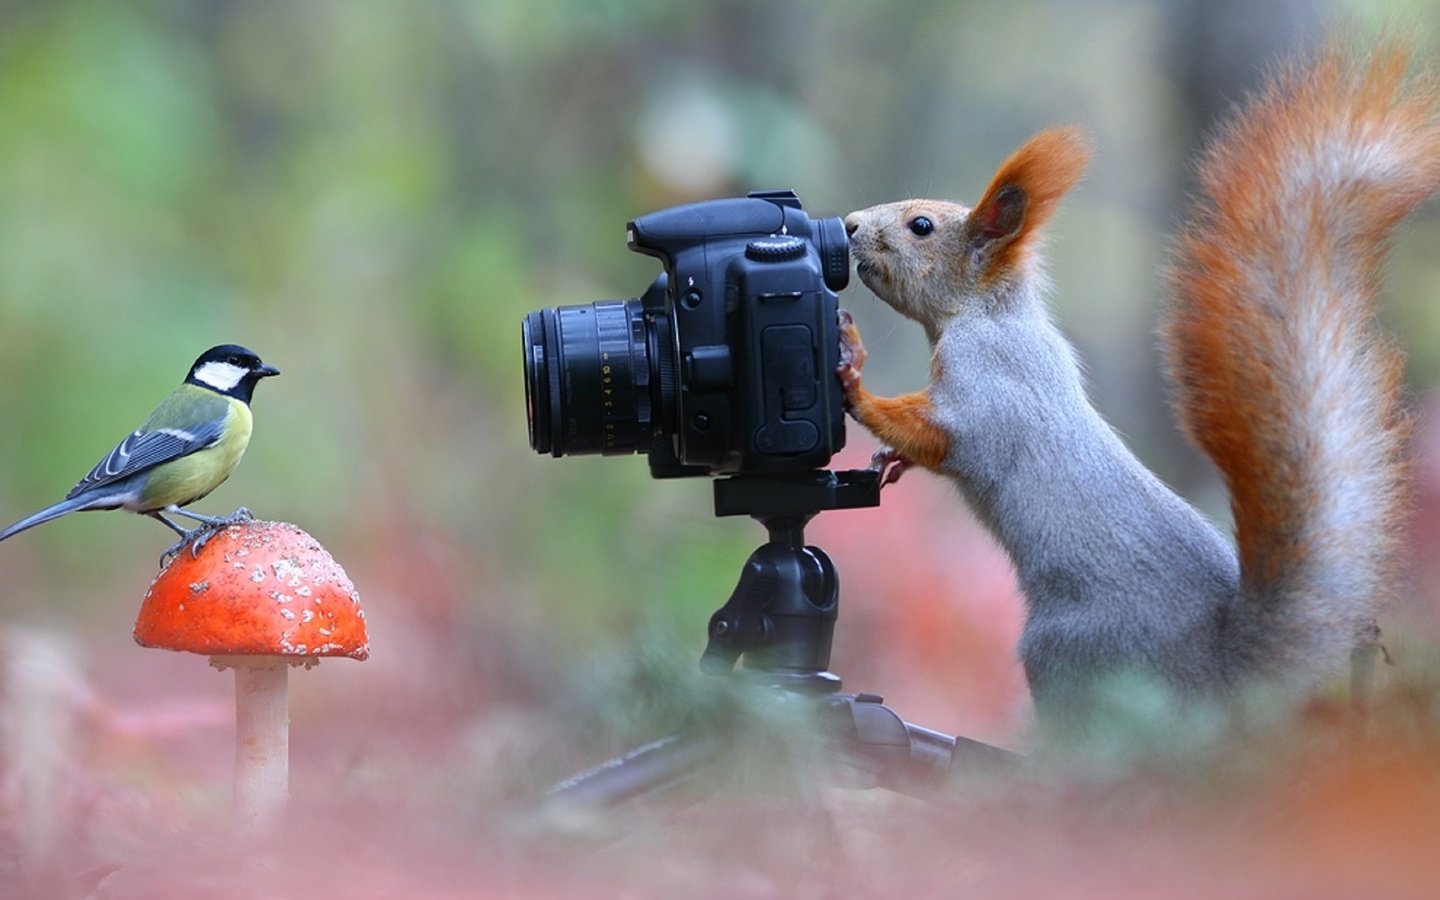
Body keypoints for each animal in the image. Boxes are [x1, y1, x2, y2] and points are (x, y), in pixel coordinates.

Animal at [835, 43, 1440, 722]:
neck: (987, 314)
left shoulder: (989, 384)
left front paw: (855, 378)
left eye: (920, 226)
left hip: (1070, 650)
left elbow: (946, 434)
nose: (849, 223)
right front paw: (891, 459)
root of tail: (1218, 674)